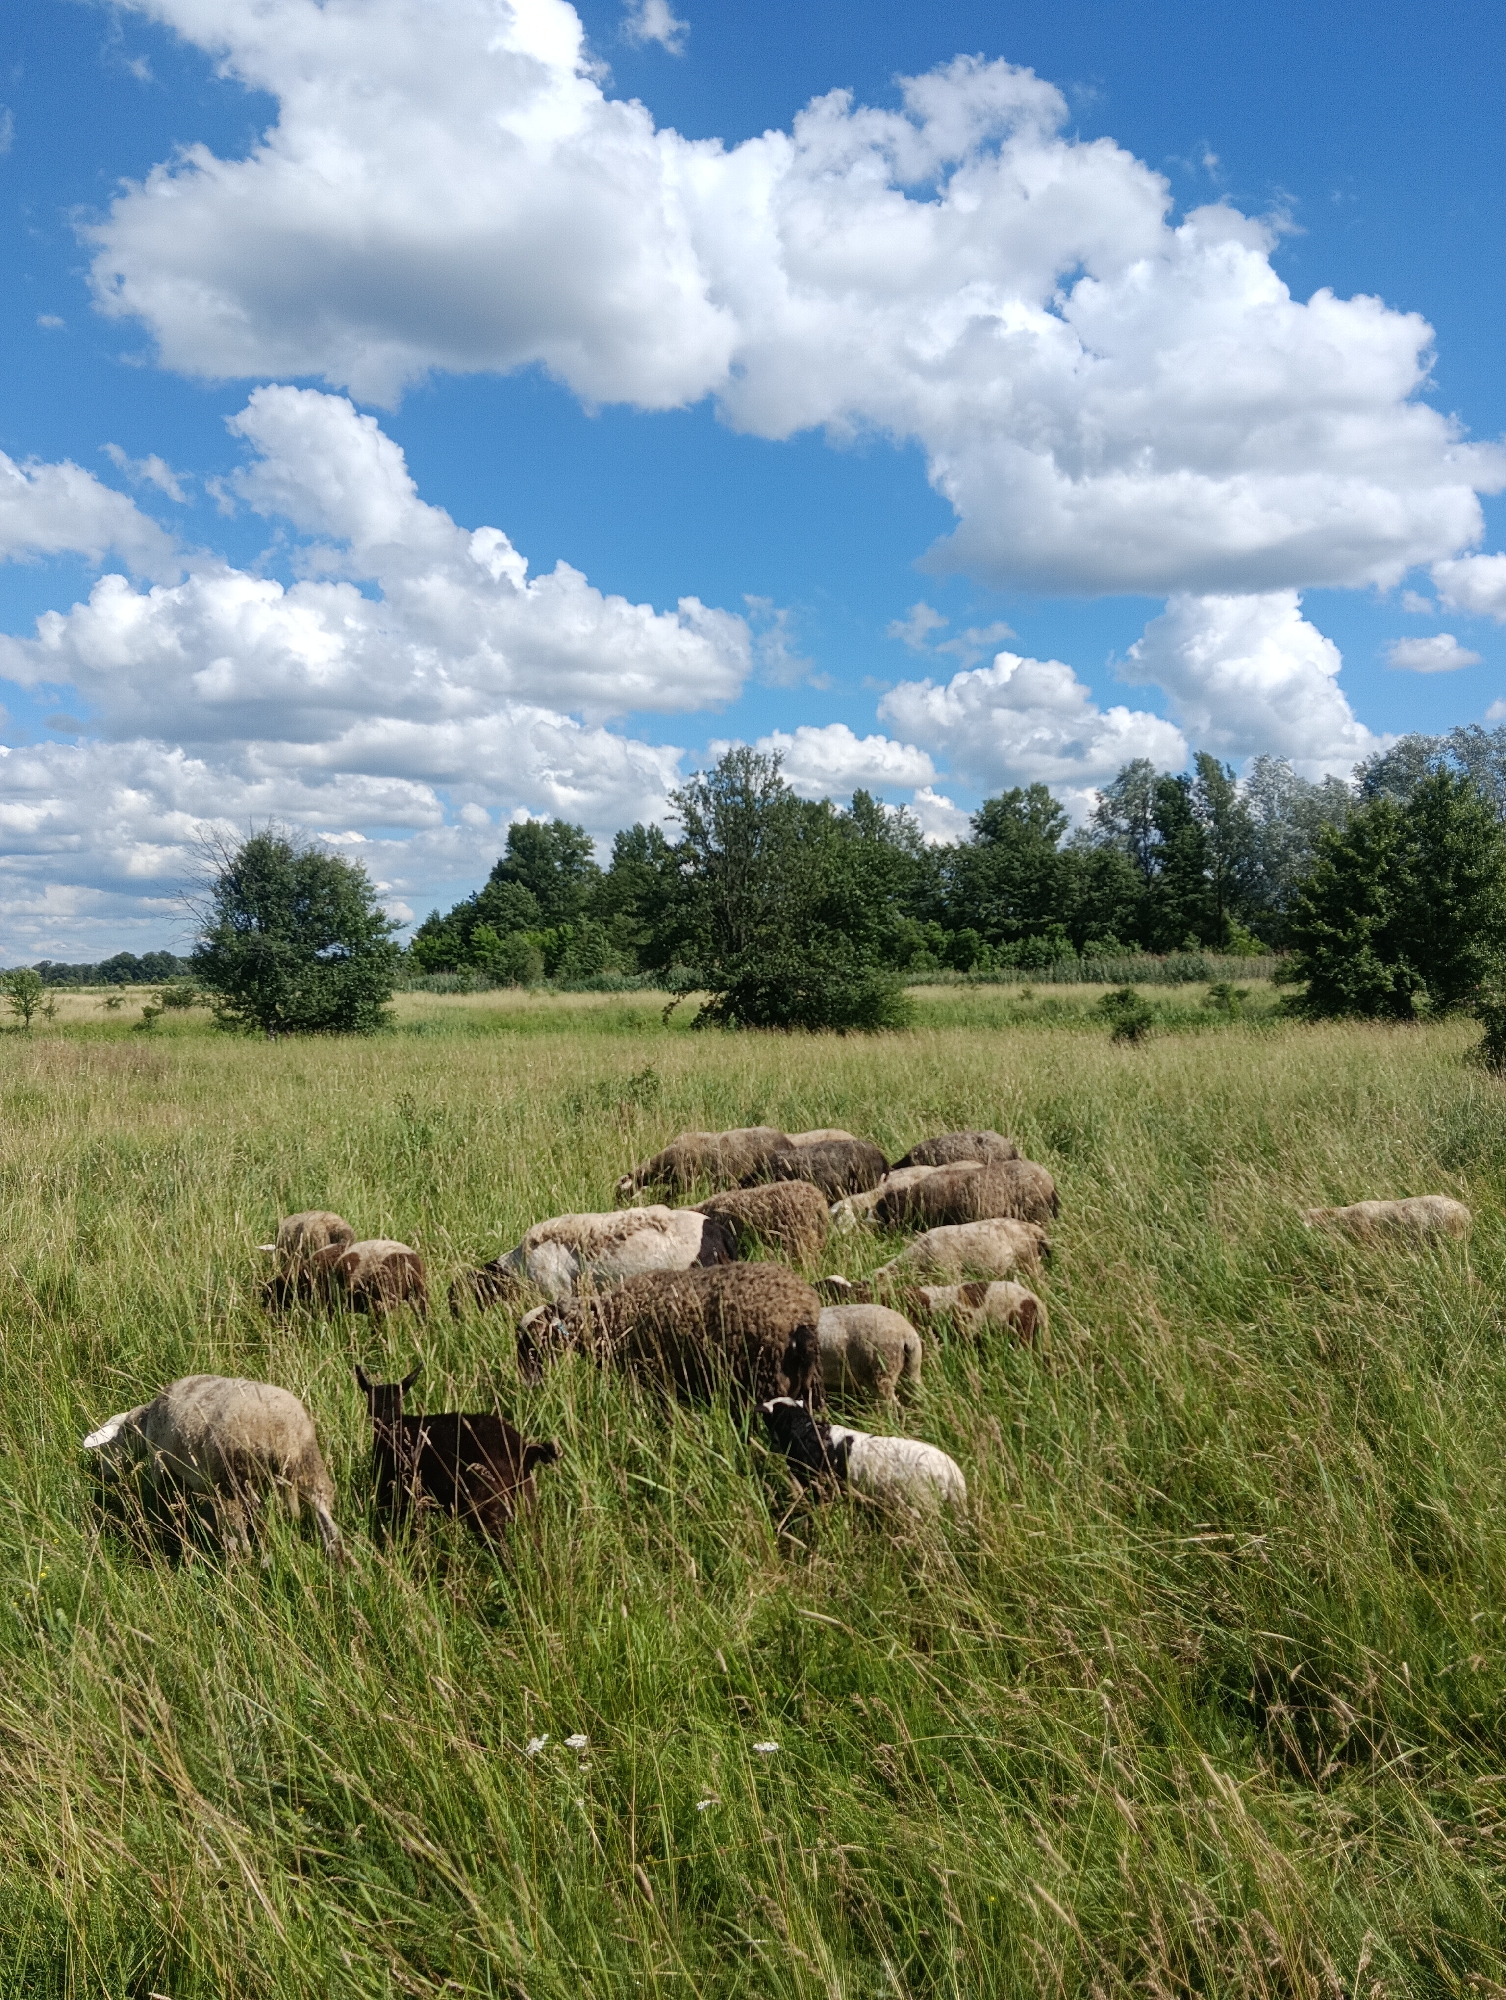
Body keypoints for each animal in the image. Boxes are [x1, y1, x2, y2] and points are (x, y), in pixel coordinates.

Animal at [82, 1374, 342, 1555]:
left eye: (106, 1448)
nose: (105, 1476)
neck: (144, 1423)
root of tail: (277, 1432)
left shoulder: (163, 1464)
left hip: (230, 1481)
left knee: (239, 1534)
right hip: (308, 1465)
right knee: (325, 1515)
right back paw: (337, 1557)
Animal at [516, 1261, 822, 1408]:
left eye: (531, 1338)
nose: (528, 1383)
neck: (605, 1322)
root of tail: (800, 1318)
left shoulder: (648, 1376)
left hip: (766, 1379)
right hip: (807, 1384)